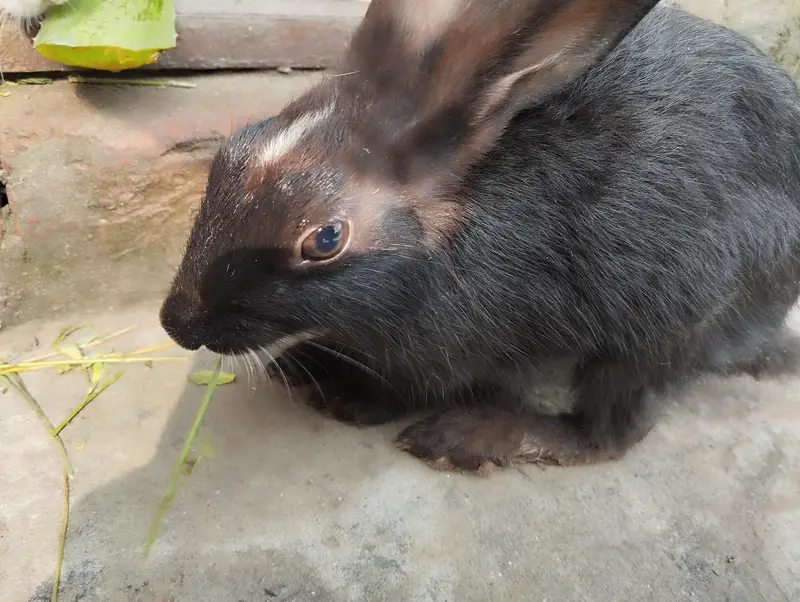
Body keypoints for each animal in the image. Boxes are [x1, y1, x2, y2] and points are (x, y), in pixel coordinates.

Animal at [160, 0, 800, 475]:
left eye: (324, 239)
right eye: (231, 150)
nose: (177, 323)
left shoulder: (442, 354)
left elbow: (403, 391)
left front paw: (337, 393)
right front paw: (300, 365)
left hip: (667, 325)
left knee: (610, 433)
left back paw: (469, 437)